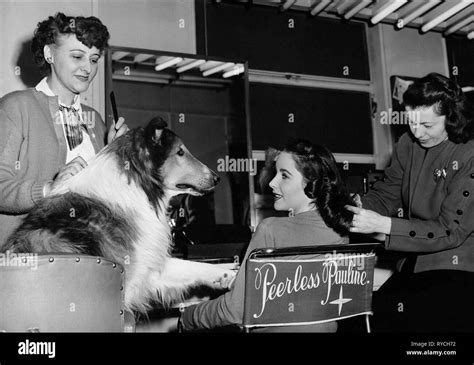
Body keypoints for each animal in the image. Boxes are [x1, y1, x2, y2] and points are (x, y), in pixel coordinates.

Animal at [4, 118, 237, 312]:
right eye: (180, 152)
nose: (217, 178)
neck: (136, 184)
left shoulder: (148, 261)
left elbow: (198, 265)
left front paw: (231, 274)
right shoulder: (131, 282)